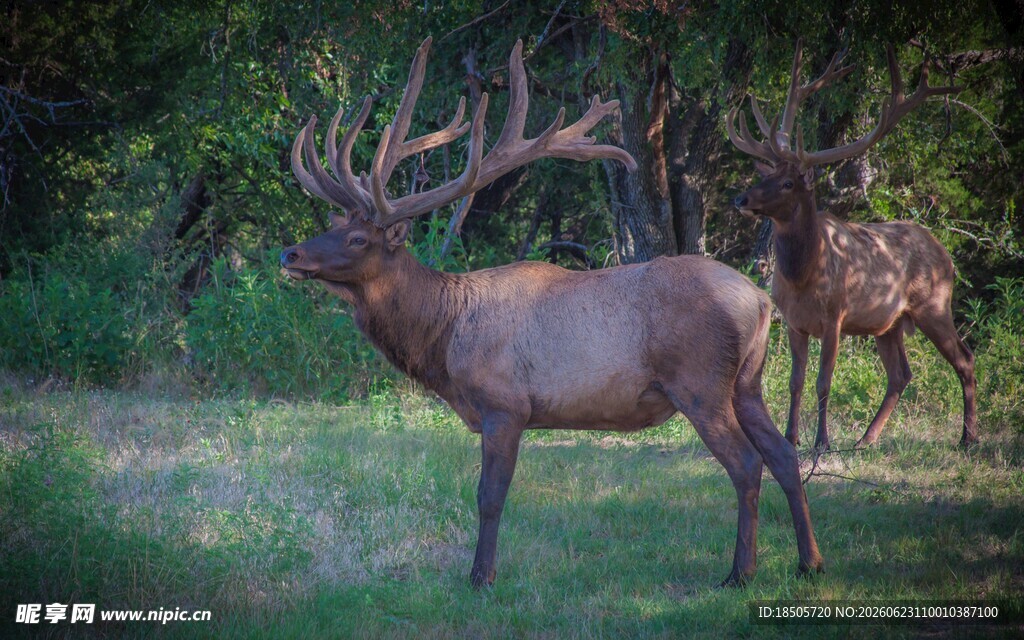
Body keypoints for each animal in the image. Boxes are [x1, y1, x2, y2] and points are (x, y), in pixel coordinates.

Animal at [280, 37, 823, 588]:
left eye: (358, 238)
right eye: (333, 224)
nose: (290, 254)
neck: (444, 340)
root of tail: (760, 300)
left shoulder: (505, 404)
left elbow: (489, 497)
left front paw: (481, 576)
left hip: (700, 381)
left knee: (746, 464)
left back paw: (741, 572)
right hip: (746, 381)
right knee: (784, 455)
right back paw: (809, 562)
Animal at [727, 41, 977, 451]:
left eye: (788, 183)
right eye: (767, 173)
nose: (741, 199)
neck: (802, 275)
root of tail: (946, 254)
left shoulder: (835, 316)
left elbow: (823, 381)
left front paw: (821, 442)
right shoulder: (794, 322)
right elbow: (796, 382)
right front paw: (791, 437)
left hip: (935, 305)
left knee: (965, 358)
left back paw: (968, 437)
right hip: (889, 323)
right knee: (901, 373)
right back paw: (866, 439)